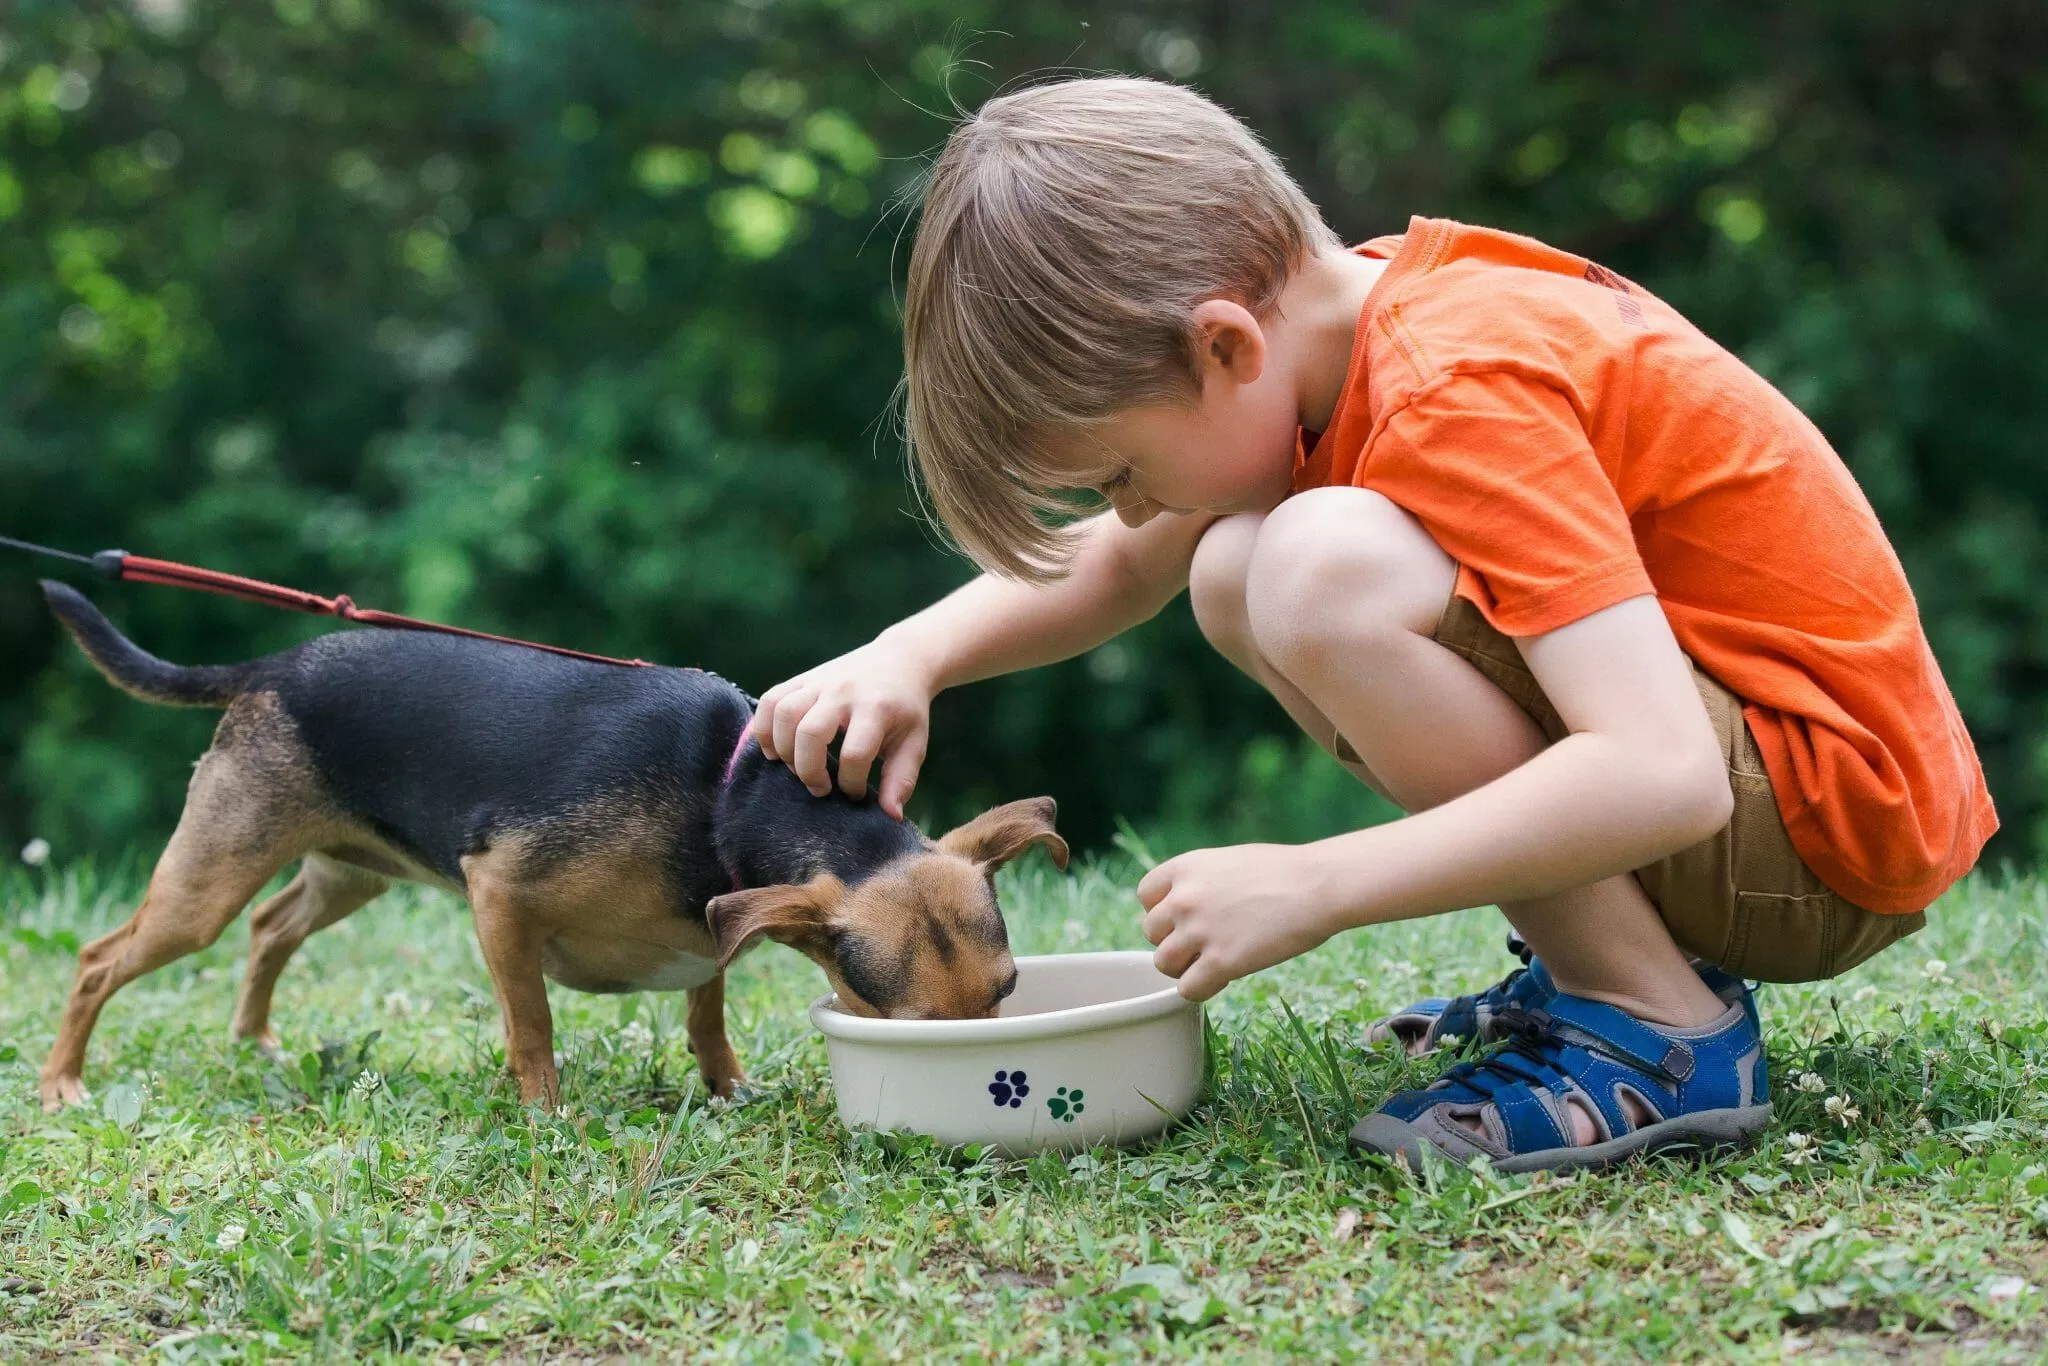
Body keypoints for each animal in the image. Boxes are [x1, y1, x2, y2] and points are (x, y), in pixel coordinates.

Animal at [36, 581, 1073, 1114]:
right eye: (914, 1028)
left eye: (1008, 993)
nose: (1002, 1078)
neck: (724, 799)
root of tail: (271, 666)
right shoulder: (498, 895)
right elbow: (531, 1022)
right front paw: (543, 1114)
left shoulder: (711, 930)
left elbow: (706, 1011)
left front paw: (725, 1085)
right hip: (206, 882)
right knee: (99, 959)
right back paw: (62, 1084)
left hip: (348, 875)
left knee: (269, 928)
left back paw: (252, 1039)